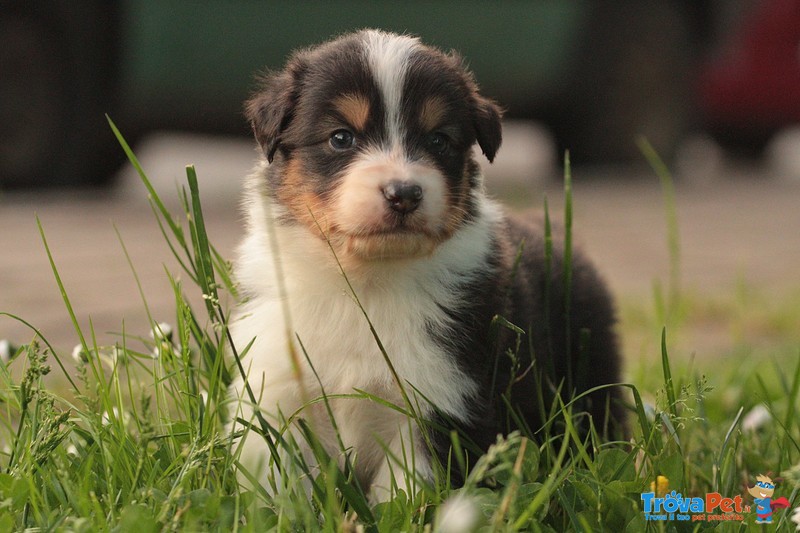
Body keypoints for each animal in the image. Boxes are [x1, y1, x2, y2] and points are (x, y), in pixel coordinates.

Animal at [228, 29, 620, 500]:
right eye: (341, 138)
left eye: (438, 140)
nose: (404, 194)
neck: (367, 282)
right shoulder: (276, 389)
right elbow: (277, 483)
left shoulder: (442, 398)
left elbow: (406, 490)